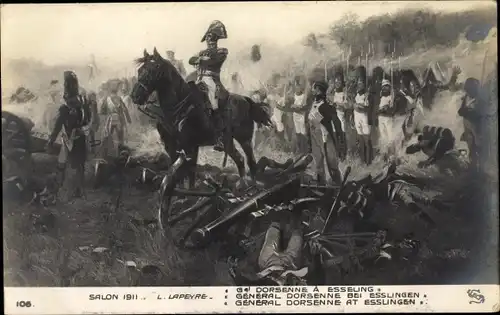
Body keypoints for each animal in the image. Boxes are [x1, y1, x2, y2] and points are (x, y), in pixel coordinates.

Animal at [129, 47, 270, 190]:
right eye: (140, 70)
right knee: (240, 159)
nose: (135, 96)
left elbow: (189, 172)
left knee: (251, 161)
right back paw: (242, 184)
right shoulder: (172, 146)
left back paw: (253, 186)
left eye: (152, 70)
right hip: (228, 142)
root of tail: (245, 99)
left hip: (244, 139)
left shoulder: (190, 146)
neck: (178, 107)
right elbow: (178, 172)